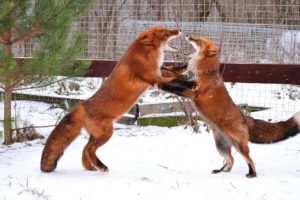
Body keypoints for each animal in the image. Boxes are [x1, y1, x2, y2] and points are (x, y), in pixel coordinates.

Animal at [40, 26, 185, 173]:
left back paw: (91, 167)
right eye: (167, 33)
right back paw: (101, 166)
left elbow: (174, 71)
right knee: (88, 149)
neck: (146, 54)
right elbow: (176, 81)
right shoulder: (154, 79)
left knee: (85, 149)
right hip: (107, 133)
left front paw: (184, 66)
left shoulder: (160, 73)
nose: (179, 30)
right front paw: (189, 83)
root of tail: (81, 106)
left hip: (97, 135)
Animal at [159, 35, 300, 177]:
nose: (188, 35)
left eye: (198, 41)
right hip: (220, 146)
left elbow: (173, 87)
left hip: (239, 146)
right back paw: (222, 170)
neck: (202, 71)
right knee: (231, 160)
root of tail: (244, 117)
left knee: (249, 160)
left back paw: (252, 174)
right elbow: (173, 76)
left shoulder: (192, 91)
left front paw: (162, 84)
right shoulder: (184, 80)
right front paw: (164, 70)